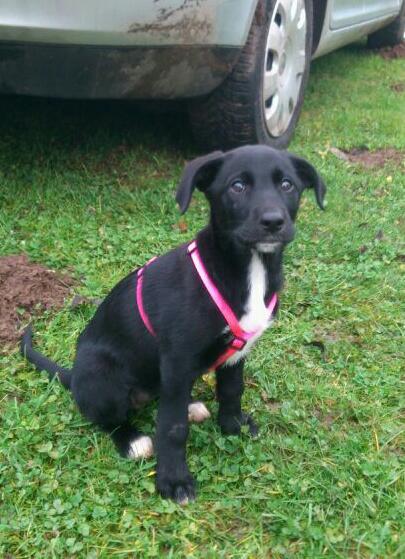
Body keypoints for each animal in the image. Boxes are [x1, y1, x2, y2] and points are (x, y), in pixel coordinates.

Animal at [21, 144, 326, 504]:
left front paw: (232, 426)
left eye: (287, 185)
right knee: (106, 417)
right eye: (237, 186)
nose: (273, 222)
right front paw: (174, 480)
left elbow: (231, 391)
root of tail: (74, 376)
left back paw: (191, 405)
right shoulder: (178, 361)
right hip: (103, 376)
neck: (248, 268)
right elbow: (172, 428)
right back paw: (131, 440)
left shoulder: (235, 354)